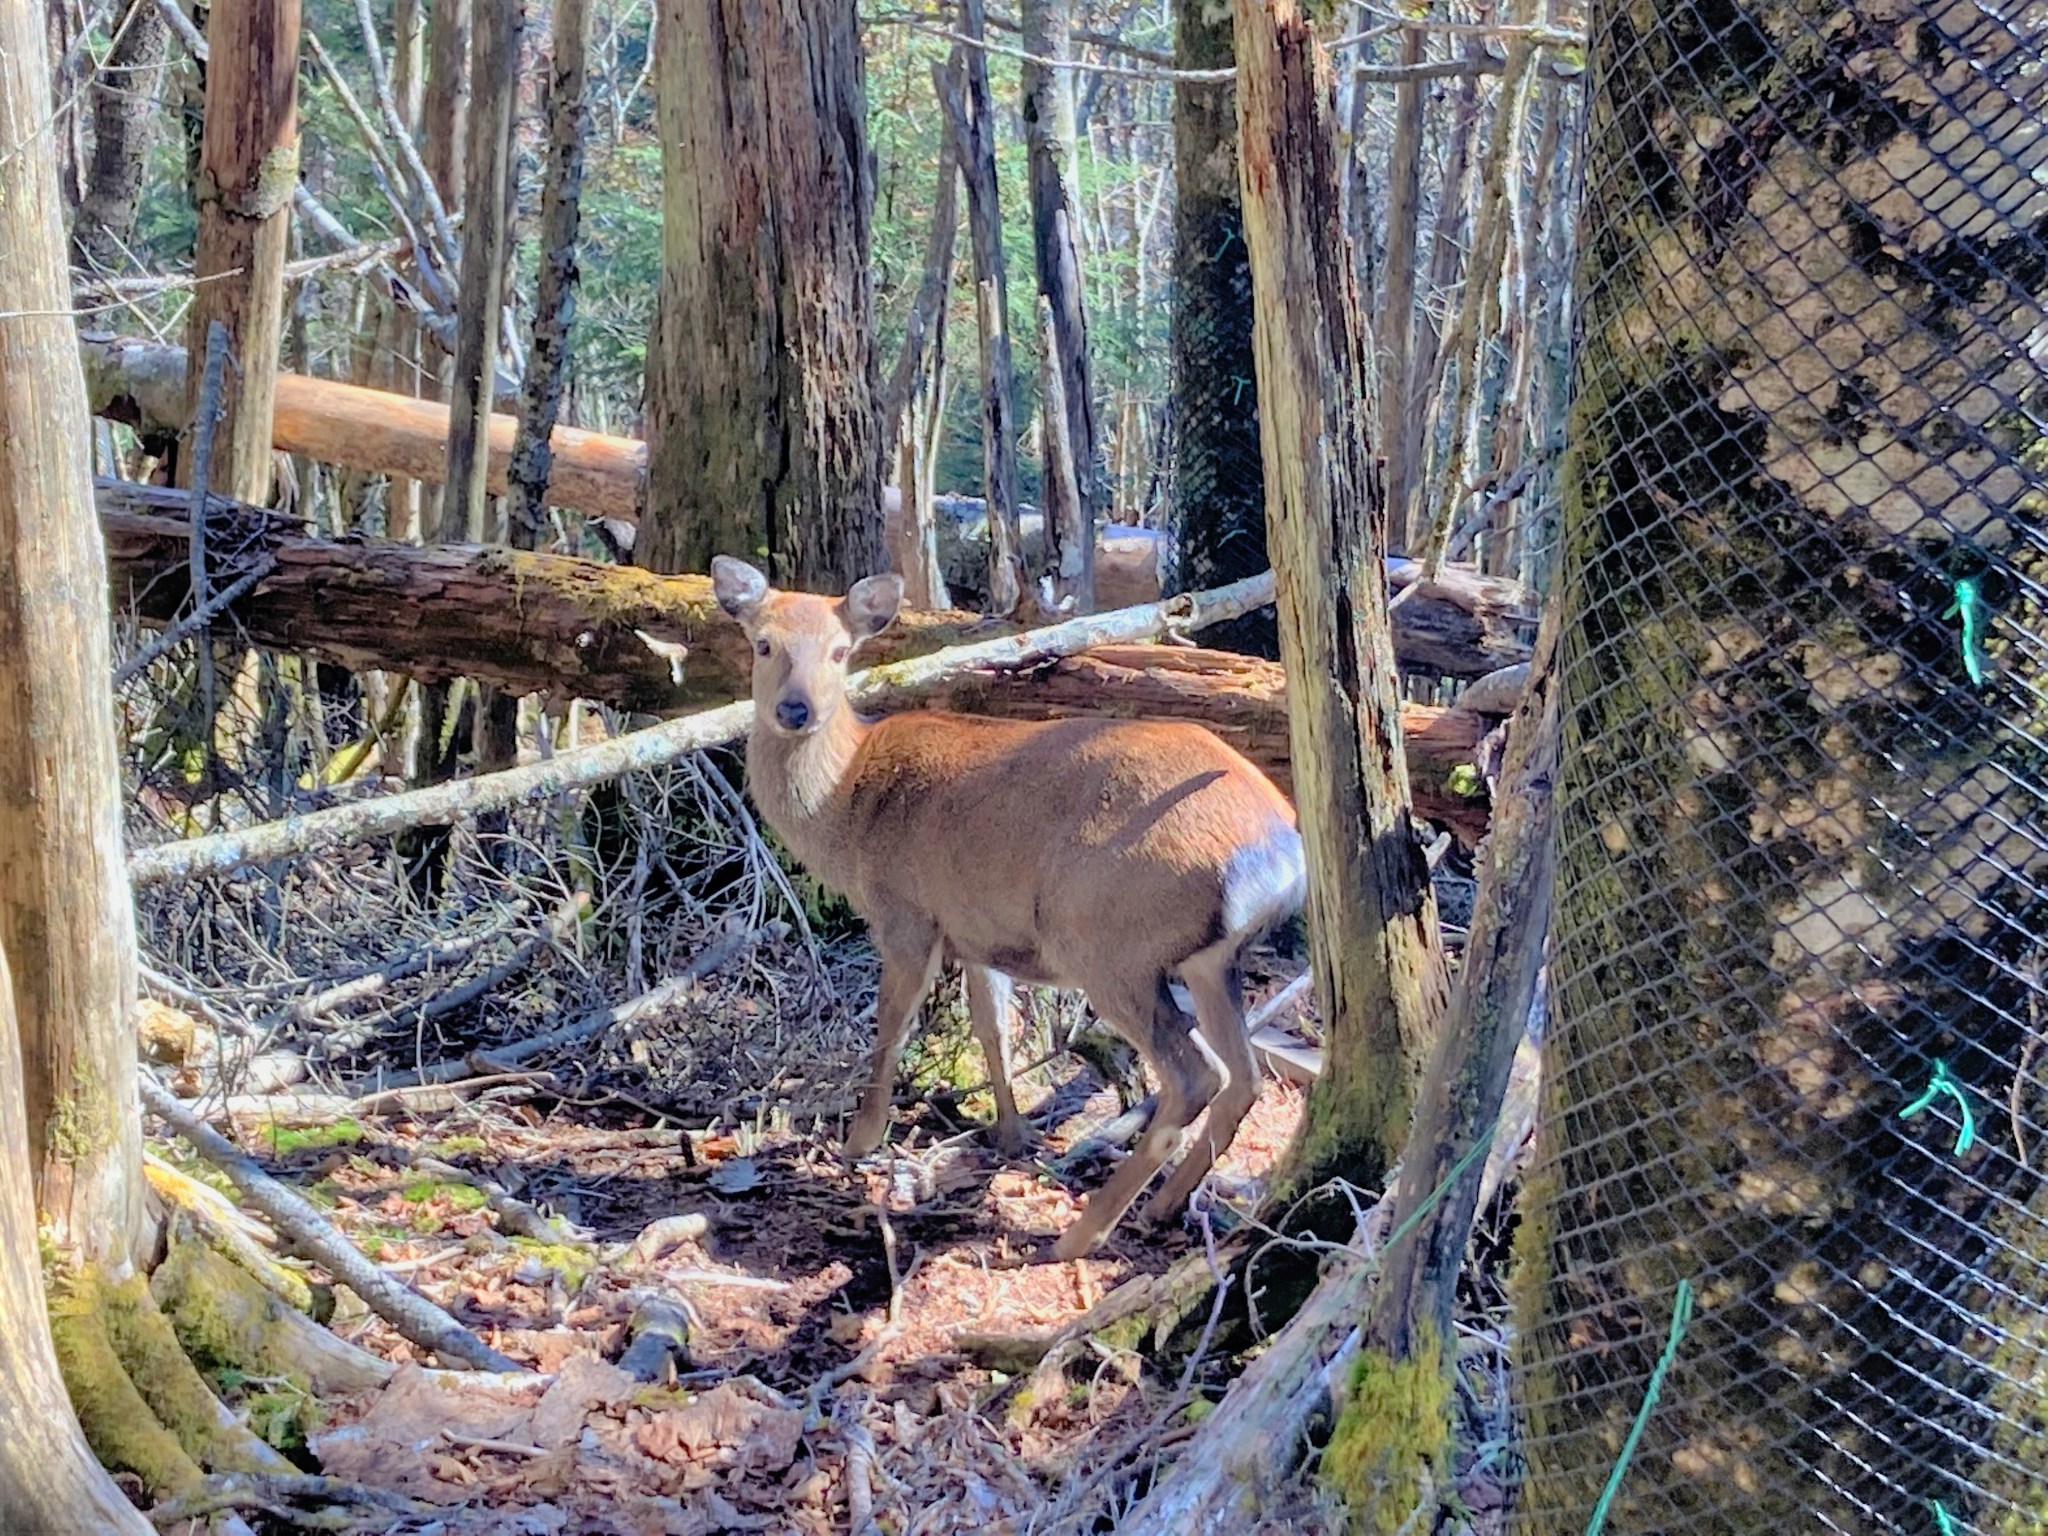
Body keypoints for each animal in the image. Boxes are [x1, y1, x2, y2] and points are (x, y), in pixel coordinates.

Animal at [711, 556, 1306, 1259]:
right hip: (1208, 960)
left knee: (1192, 1076)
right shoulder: (975, 930)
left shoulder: (905, 910)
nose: (795, 709)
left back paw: (1081, 1233)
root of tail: (1276, 854)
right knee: (1243, 1075)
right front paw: (1011, 1134)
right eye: (763, 644)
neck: (847, 803)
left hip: (1105, 937)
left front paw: (859, 1140)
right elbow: (992, 1026)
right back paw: (1163, 1206)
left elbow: (891, 1026)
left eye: (839, 651)